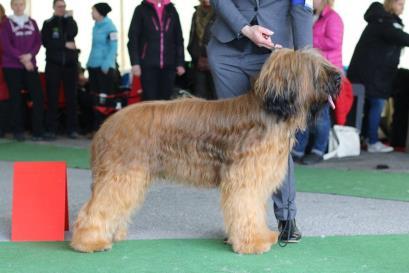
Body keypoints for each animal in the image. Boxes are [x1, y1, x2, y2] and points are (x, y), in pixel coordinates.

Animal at [71, 48, 342, 253]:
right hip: (122, 174)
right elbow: (246, 208)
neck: (270, 111)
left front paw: (261, 235)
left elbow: (254, 209)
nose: (339, 78)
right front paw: (253, 242)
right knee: (97, 206)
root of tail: (107, 124)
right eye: (314, 68)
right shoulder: (244, 179)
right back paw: (89, 241)